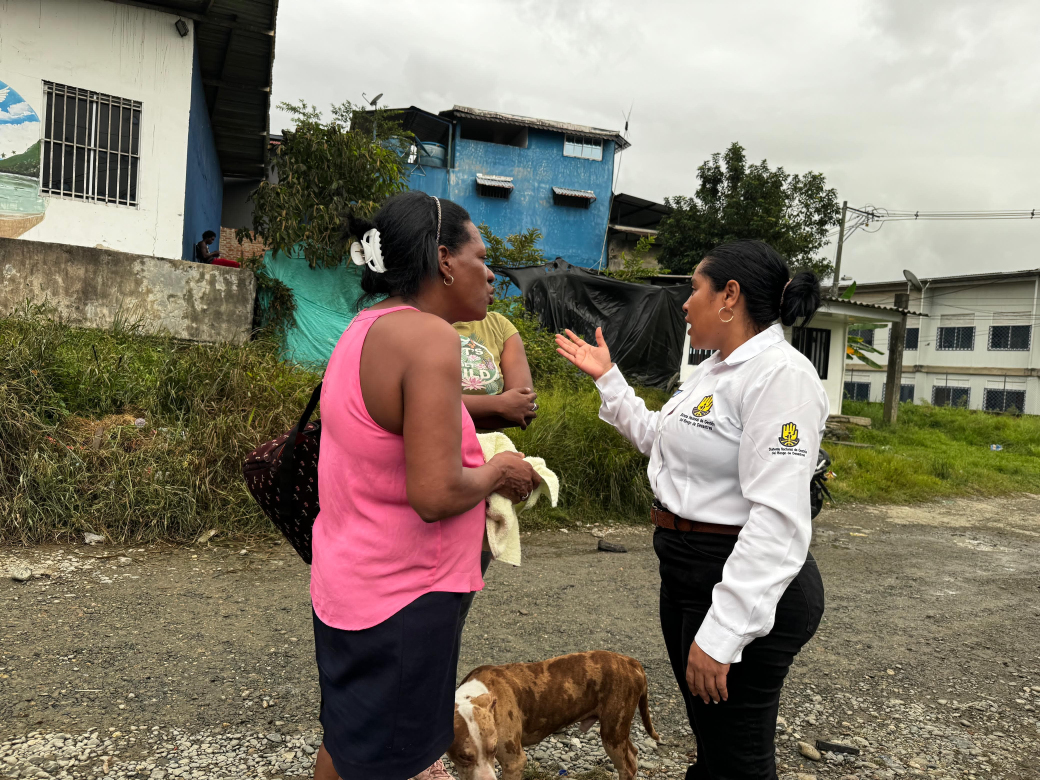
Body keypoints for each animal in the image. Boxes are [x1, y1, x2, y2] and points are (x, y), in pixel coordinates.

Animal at [445, 648, 657, 780]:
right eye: (463, 756)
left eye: (494, 749)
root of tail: (631, 662)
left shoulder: (514, 761)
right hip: (617, 732)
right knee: (632, 754)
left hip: (612, 733)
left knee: (627, 766)